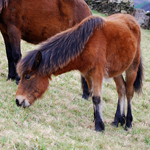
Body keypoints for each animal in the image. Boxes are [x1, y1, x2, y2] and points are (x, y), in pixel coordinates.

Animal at [14, 13, 143, 131]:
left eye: (28, 76)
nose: (18, 101)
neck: (87, 44)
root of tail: (132, 19)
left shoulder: (97, 74)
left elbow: (96, 98)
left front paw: (99, 125)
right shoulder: (87, 74)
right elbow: (92, 95)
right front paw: (97, 119)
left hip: (132, 68)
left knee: (129, 92)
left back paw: (128, 123)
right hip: (117, 70)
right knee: (121, 89)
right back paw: (118, 120)